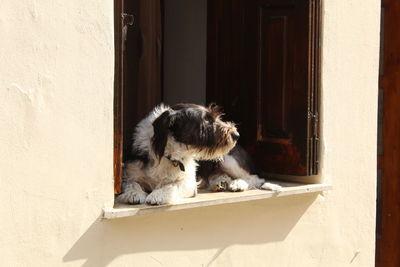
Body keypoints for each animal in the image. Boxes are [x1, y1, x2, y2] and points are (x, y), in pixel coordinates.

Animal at [117, 103, 282, 206]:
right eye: (206, 121)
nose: (236, 134)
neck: (168, 154)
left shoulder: (189, 184)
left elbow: (171, 185)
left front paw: (157, 195)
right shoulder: (128, 173)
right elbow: (131, 183)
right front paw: (133, 194)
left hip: (228, 159)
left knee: (255, 178)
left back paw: (237, 184)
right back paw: (220, 182)